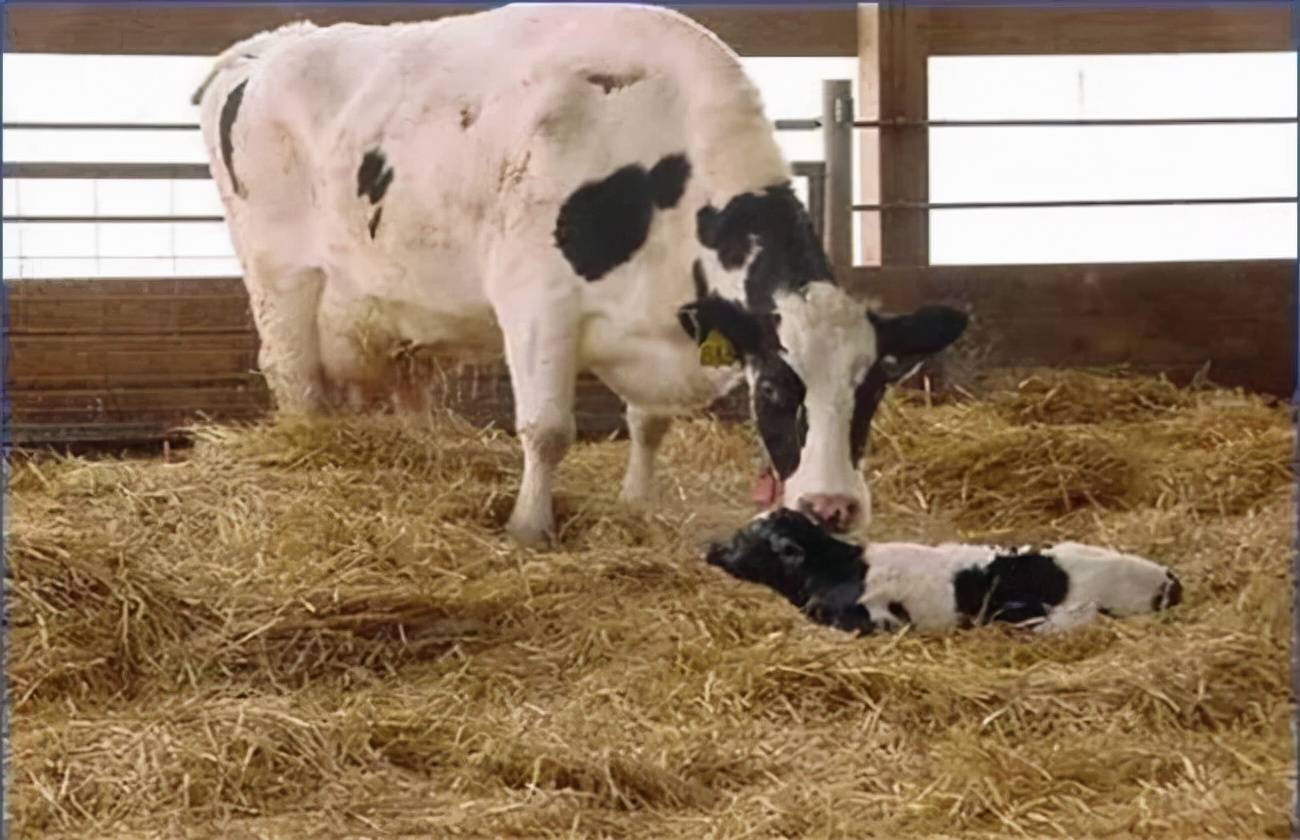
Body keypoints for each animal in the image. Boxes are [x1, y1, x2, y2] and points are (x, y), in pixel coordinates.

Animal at [189, 3, 967, 548]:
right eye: (775, 388)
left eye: (873, 388)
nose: (832, 508)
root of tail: (272, 43)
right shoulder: (537, 303)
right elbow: (547, 430)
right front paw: (529, 526)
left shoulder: (661, 322)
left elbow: (648, 422)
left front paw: (636, 501)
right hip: (281, 274)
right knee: (296, 382)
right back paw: (313, 456)